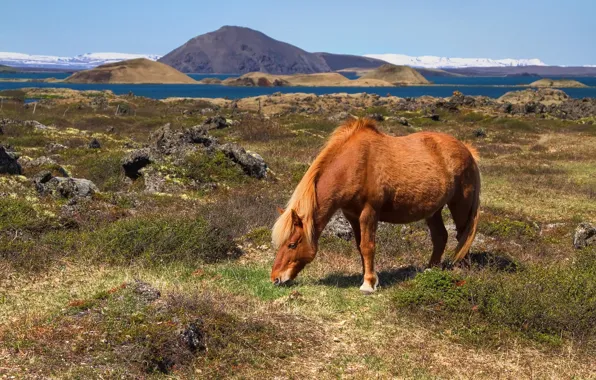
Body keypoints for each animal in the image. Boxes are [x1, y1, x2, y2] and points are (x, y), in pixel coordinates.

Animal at [270, 119, 480, 294]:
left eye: (292, 244)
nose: (275, 279)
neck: (354, 165)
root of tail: (467, 150)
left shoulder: (369, 213)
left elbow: (368, 246)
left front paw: (368, 284)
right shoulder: (352, 216)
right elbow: (360, 246)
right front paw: (368, 277)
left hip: (460, 204)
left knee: (463, 235)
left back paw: (462, 269)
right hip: (433, 210)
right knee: (440, 237)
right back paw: (431, 270)